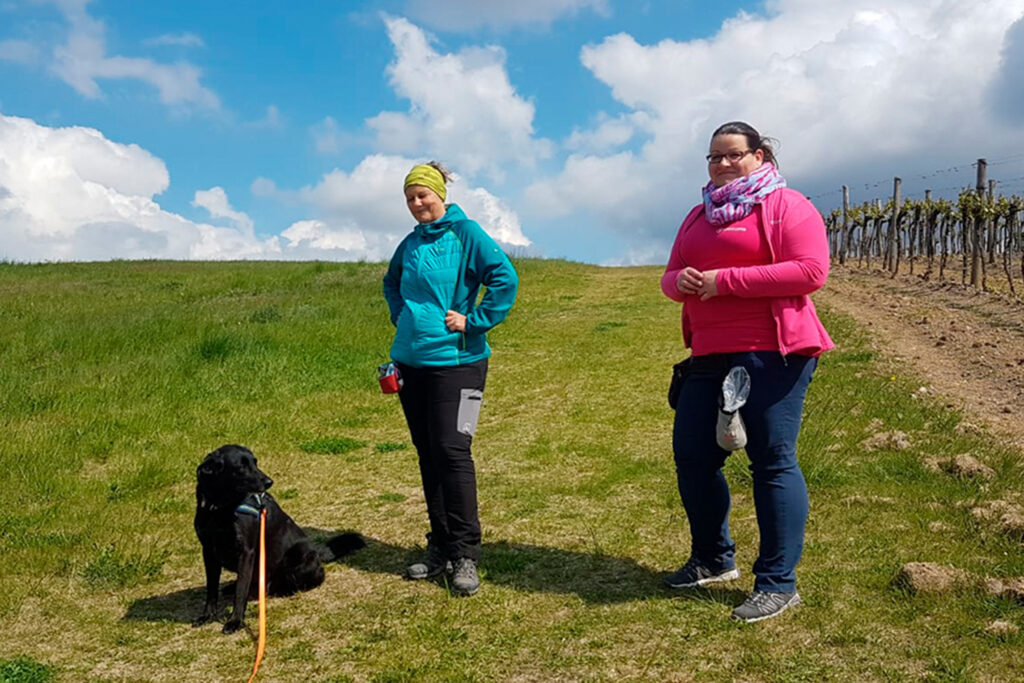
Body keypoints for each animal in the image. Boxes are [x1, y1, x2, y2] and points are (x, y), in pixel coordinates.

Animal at [193, 446, 366, 634]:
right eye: (241, 467)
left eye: (255, 462)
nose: (269, 482)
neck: (218, 508)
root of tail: (318, 552)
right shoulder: (208, 552)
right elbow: (212, 590)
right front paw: (207, 616)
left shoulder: (246, 552)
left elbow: (241, 592)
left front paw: (235, 621)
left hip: (297, 554)